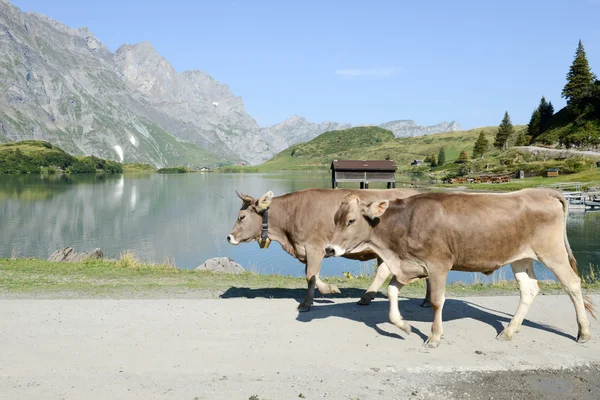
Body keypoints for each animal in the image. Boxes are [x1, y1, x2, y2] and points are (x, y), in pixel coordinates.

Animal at [225, 188, 426, 312]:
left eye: (241, 217)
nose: (229, 237)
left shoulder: (314, 247)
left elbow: (310, 275)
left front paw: (307, 303)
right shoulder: (309, 250)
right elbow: (312, 274)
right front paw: (330, 289)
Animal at [328, 188, 596, 346]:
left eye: (351, 220)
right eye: (335, 220)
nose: (329, 249)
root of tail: (542, 191)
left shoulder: (438, 264)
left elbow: (436, 301)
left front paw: (434, 336)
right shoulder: (409, 266)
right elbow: (392, 293)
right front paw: (404, 325)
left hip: (552, 252)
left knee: (572, 284)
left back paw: (583, 333)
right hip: (520, 258)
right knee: (529, 290)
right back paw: (509, 331)